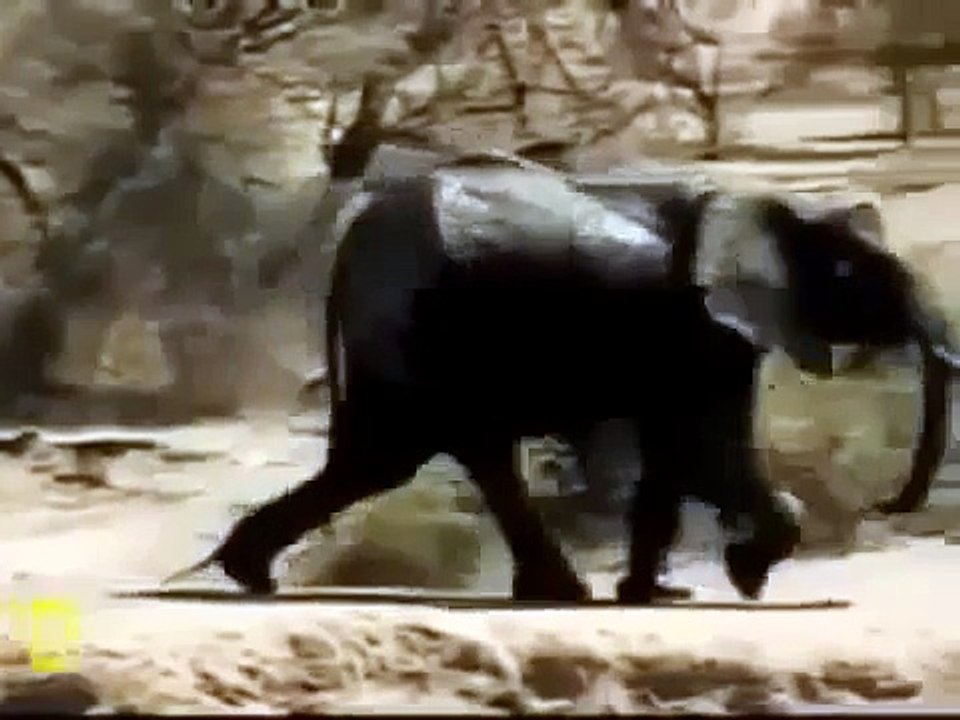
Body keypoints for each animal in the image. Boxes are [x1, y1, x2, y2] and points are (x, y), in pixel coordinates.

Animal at [165, 143, 960, 605]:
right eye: (857, 273)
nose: (887, 504)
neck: (774, 198)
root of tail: (348, 241)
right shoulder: (704, 324)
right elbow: (707, 447)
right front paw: (746, 573)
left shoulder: (695, 335)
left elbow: (673, 454)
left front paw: (654, 596)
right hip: (417, 323)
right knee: (399, 455)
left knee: (415, 456)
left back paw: (249, 574)